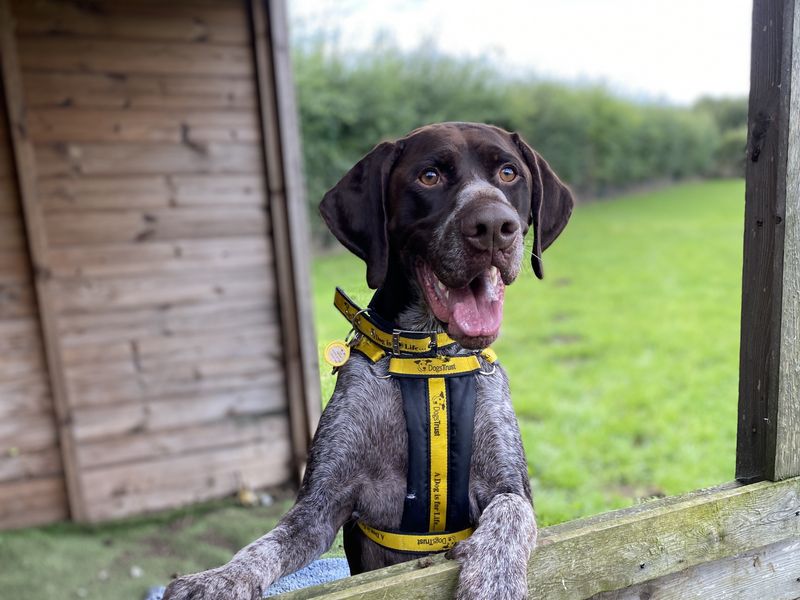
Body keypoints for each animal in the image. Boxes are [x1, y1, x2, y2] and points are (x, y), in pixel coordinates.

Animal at [164, 123, 576, 600]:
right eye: (429, 176)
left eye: (508, 173)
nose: (493, 226)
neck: (429, 361)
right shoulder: (320, 508)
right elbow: (263, 546)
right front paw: (217, 579)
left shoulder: (510, 485)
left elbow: (511, 511)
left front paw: (495, 581)